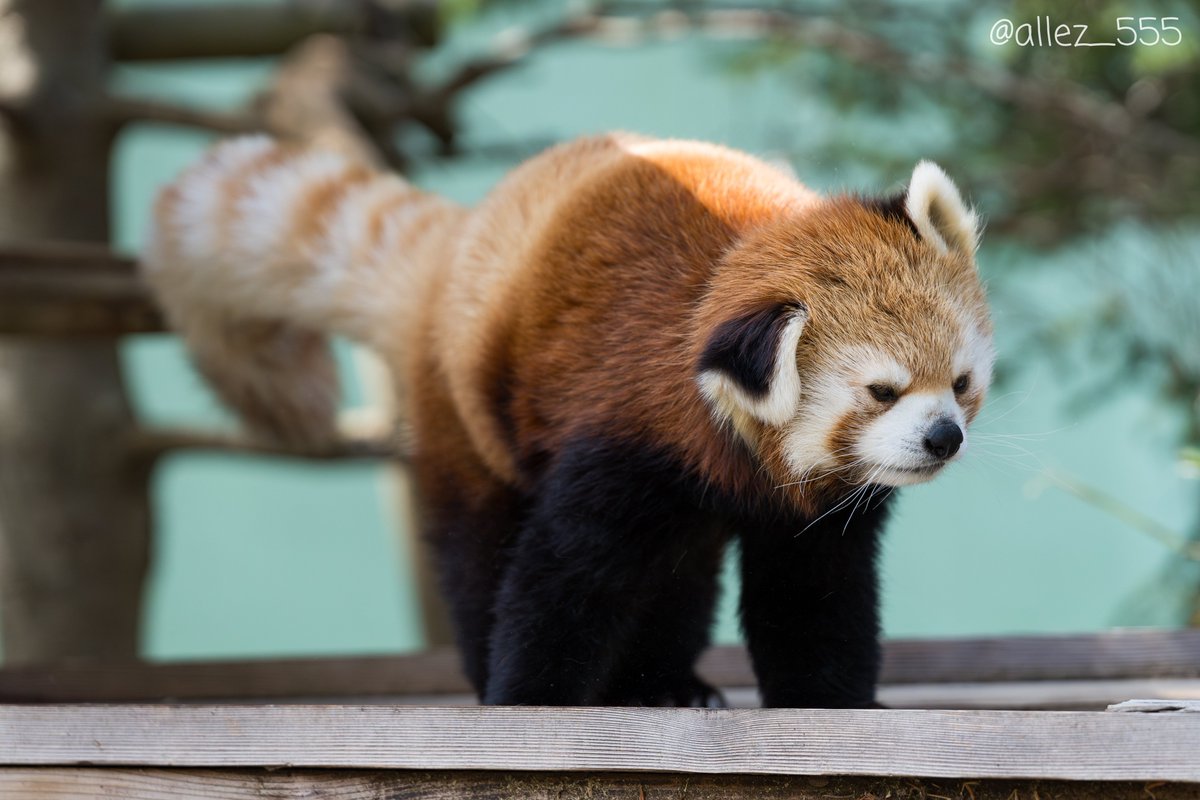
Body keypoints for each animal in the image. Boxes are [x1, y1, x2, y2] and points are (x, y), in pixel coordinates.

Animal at [145, 133, 993, 705]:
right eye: (881, 392)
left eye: (960, 383)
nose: (942, 438)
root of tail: (459, 245)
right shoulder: (622, 426)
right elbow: (568, 575)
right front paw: (526, 700)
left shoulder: (809, 511)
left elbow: (814, 598)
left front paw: (829, 703)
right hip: (464, 416)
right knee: (480, 550)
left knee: (679, 574)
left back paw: (665, 683)